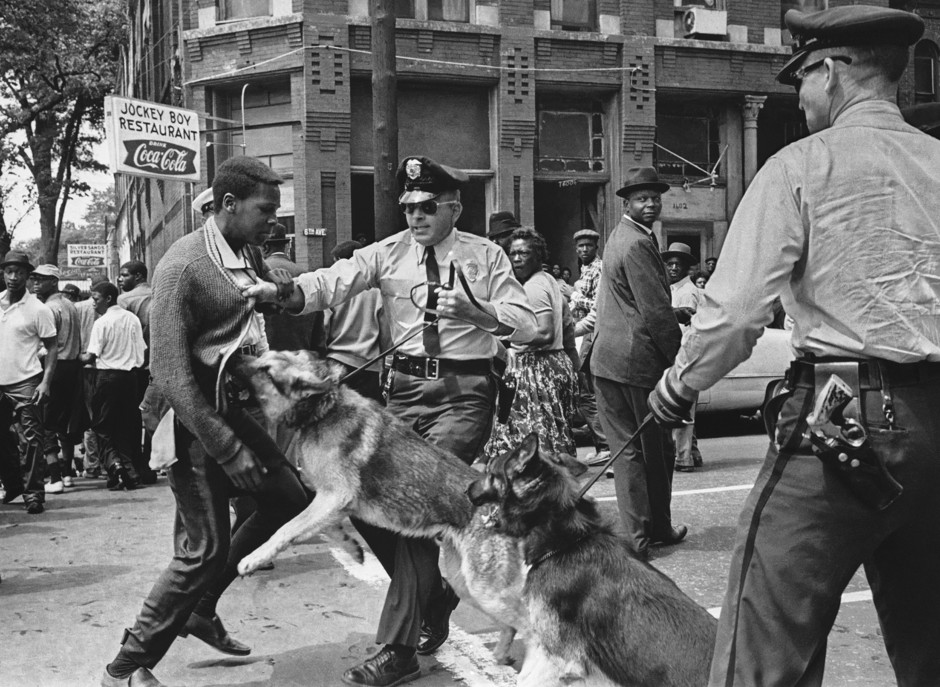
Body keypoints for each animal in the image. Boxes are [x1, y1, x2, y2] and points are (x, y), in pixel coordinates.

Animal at [232, 352, 524, 664]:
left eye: (266, 370)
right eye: (261, 358)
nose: (234, 358)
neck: (325, 408)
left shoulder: (333, 496)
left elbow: (285, 529)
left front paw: (253, 558)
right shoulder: (328, 499)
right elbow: (324, 528)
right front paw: (351, 547)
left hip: (483, 585)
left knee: (521, 618)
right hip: (464, 581)